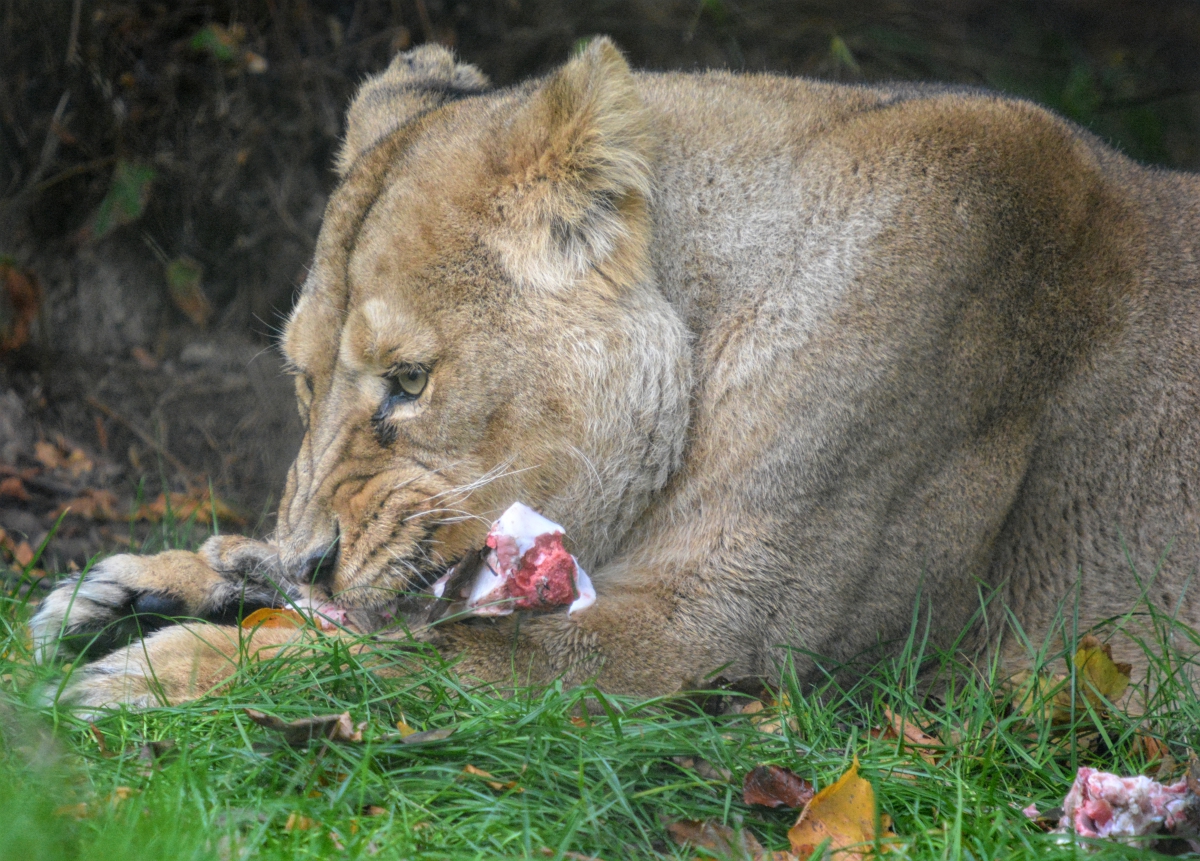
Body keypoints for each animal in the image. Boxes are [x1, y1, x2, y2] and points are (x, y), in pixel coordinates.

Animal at [29, 39, 1200, 711]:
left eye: (408, 380)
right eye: (303, 382)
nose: (313, 558)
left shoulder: (720, 638)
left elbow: (432, 659)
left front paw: (164, 669)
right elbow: (384, 622)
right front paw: (156, 584)